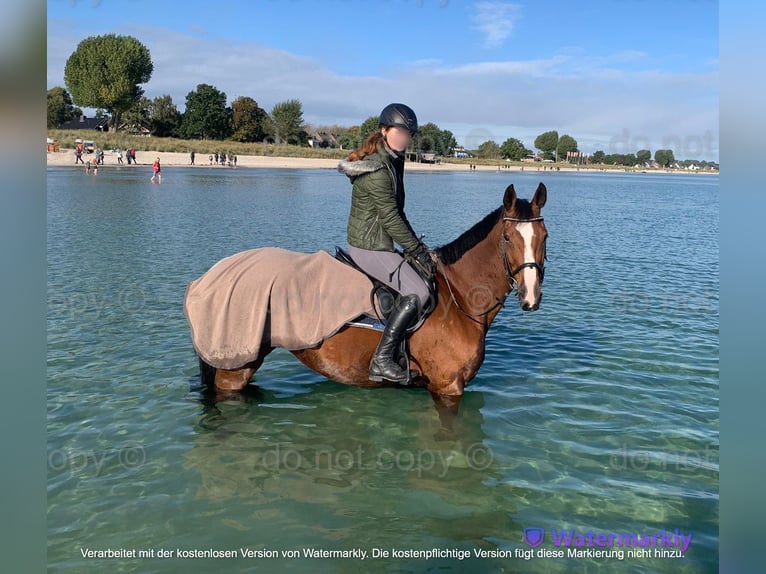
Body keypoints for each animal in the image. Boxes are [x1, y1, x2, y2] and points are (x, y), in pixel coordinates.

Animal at [198, 182, 548, 418]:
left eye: (544, 237)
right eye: (507, 238)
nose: (530, 297)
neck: (459, 297)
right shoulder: (447, 388)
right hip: (234, 368)